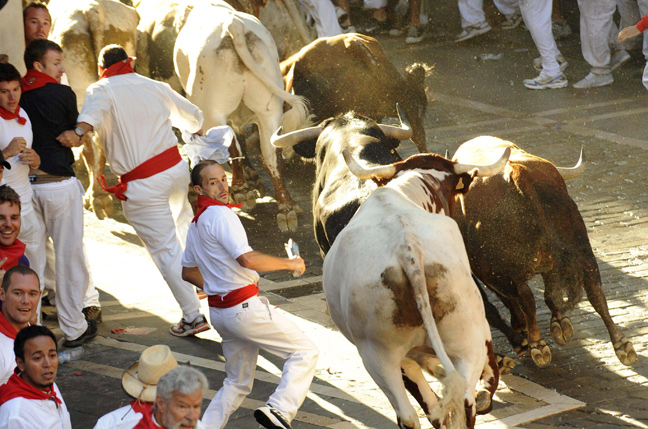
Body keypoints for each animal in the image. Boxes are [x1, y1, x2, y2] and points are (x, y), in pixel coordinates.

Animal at [175, 0, 312, 231]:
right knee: (272, 156)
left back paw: (240, 190)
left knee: (229, 149)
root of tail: (235, 26)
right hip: (269, 109)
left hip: (212, 112)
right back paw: (287, 207)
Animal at [450, 135, 636, 366]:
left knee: (526, 298)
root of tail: (517, 171)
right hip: (582, 249)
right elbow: (550, 295)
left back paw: (537, 344)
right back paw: (622, 344)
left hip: (507, 270)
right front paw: (559, 323)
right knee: (595, 291)